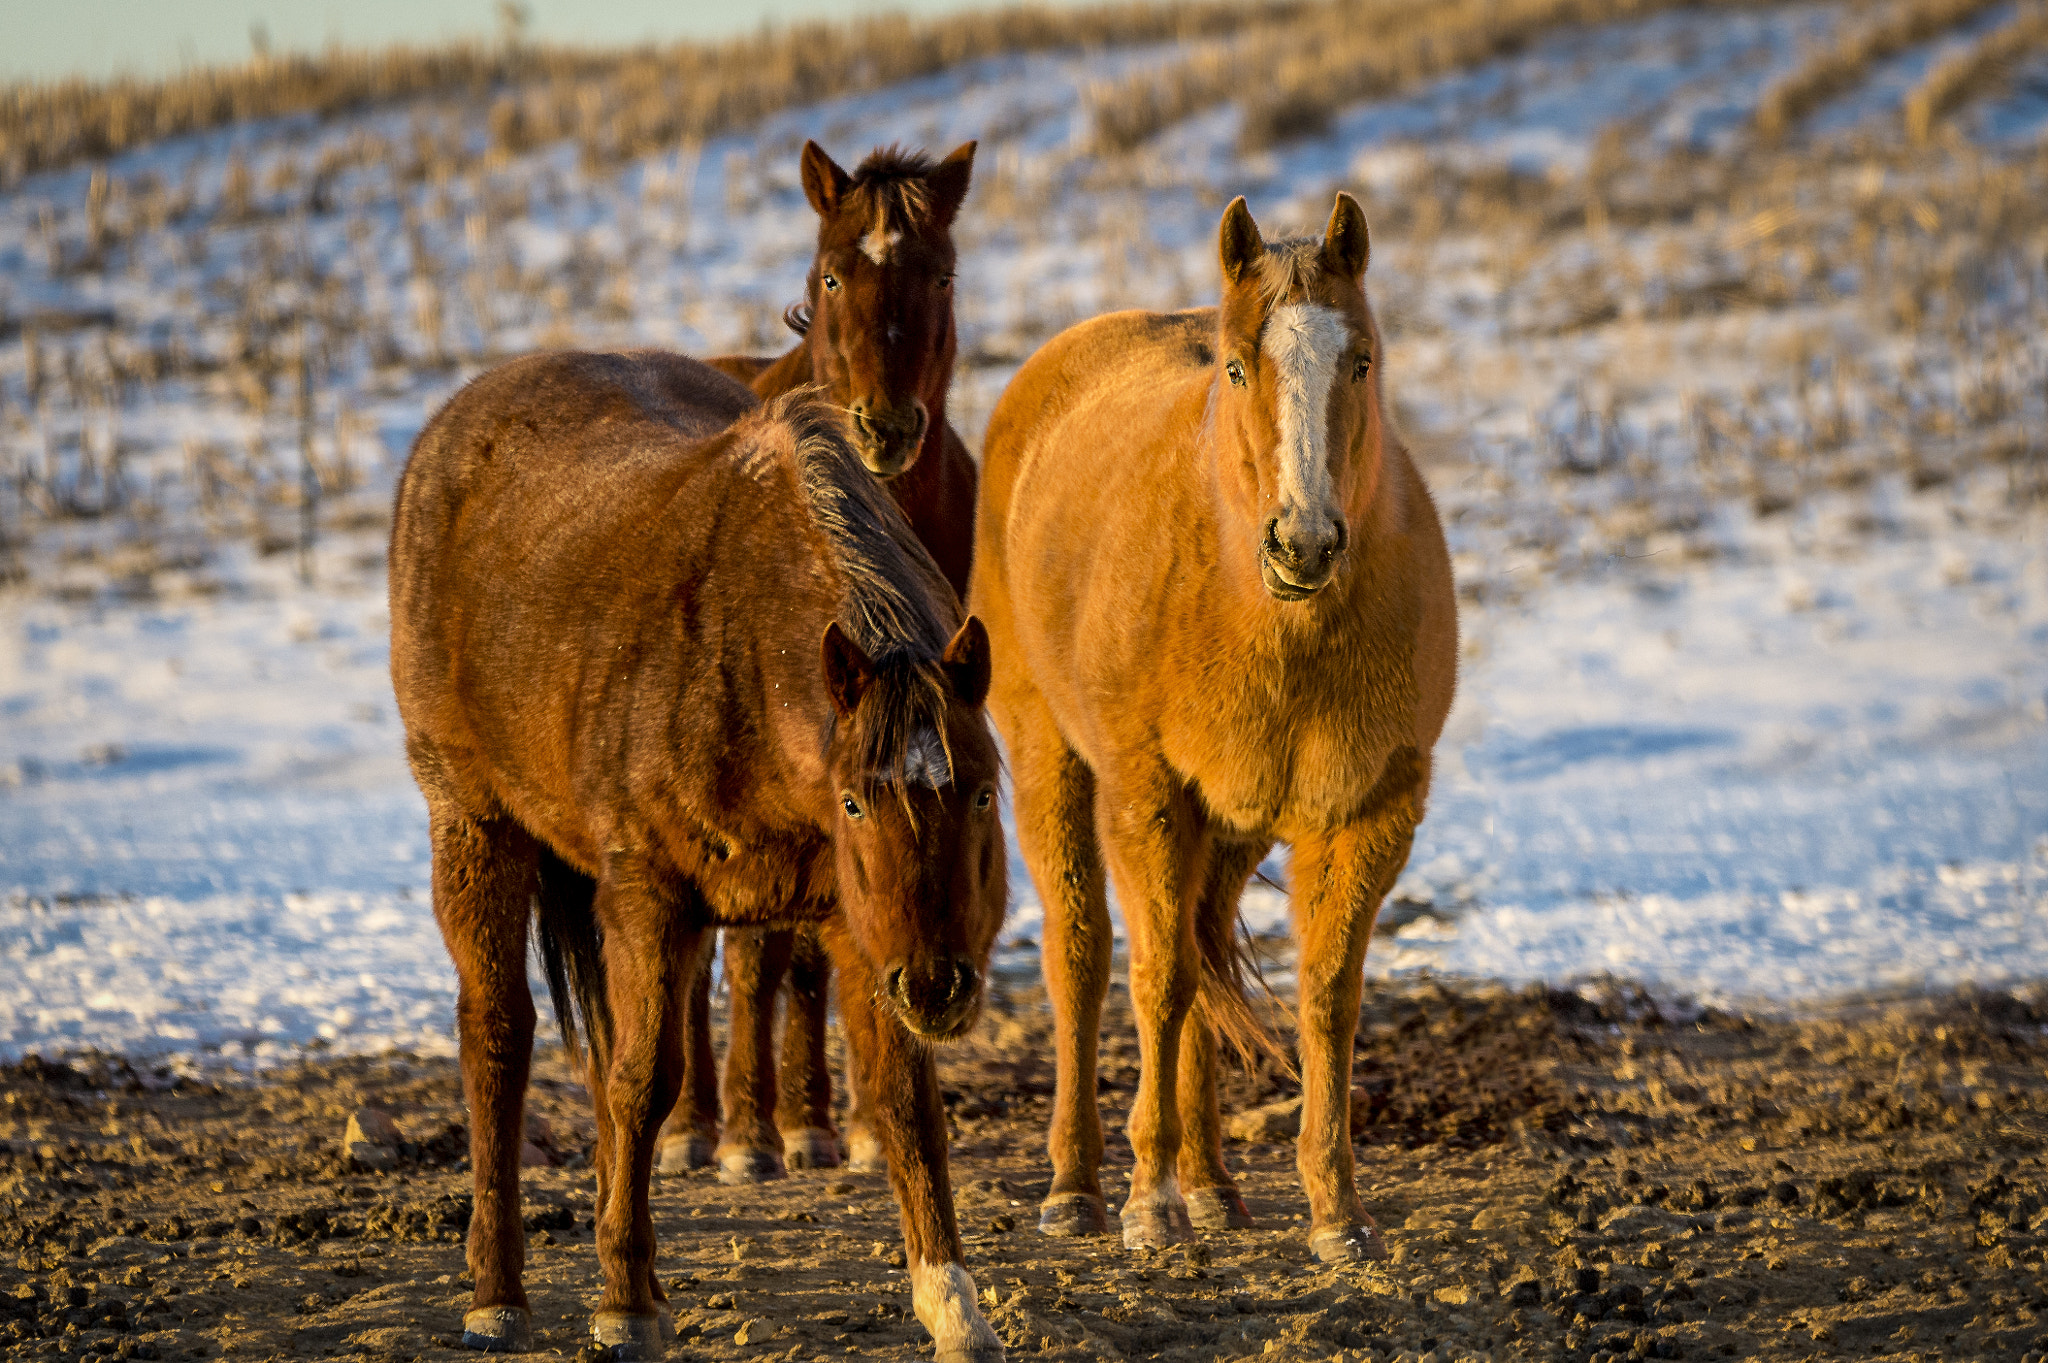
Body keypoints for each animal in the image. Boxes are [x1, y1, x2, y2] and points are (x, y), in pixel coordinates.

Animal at [390, 353, 1009, 1361]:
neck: (743, 660)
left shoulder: (857, 929)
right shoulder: (651, 899)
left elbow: (904, 1101)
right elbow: (644, 1085)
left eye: (984, 791)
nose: (938, 987)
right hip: (474, 826)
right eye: (855, 799)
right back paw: (498, 1293)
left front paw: (951, 1301)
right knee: (499, 1040)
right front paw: (624, 1307)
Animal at [661, 140, 982, 1184]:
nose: (887, 426)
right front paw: (757, 1131)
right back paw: (695, 1121)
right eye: (834, 274)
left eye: (942, 274)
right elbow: (759, 951)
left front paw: (853, 1123)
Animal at [969, 194, 1457, 1261]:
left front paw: (1337, 1210)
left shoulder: (1367, 812)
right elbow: (1154, 978)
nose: (1304, 542)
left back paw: (1211, 1185)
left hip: (1231, 825)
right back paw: (1080, 1186)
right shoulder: (1148, 795)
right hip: (1052, 759)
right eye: (1237, 367)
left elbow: (1327, 995)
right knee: (1085, 954)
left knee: (1197, 949)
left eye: (1363, 360)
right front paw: (1147, 1202)